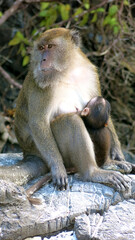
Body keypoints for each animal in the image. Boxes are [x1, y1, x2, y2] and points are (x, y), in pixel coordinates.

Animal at [0, 27, 132, 190]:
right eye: (41, 48)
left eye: (50, 47)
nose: (43, 60)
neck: (68, 70)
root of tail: (29, 153)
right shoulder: (41, 84)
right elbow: (38, 122)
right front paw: (58, 168)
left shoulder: (90, 72)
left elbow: (102, 104)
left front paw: (117, 153)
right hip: (54, 154)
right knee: (70, 121)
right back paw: (92, 173)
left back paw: (108, 163)